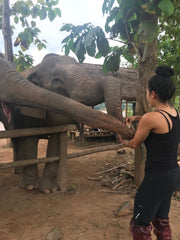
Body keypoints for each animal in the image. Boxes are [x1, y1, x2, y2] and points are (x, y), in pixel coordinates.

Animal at [0, 55, 134, 193]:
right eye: (57, 80)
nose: (131, 132)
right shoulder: (23, 111)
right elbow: (29, 138)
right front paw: (31, 186)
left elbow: (56, 138)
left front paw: (49, 190)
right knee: (15, 138)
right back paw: (18, 171)